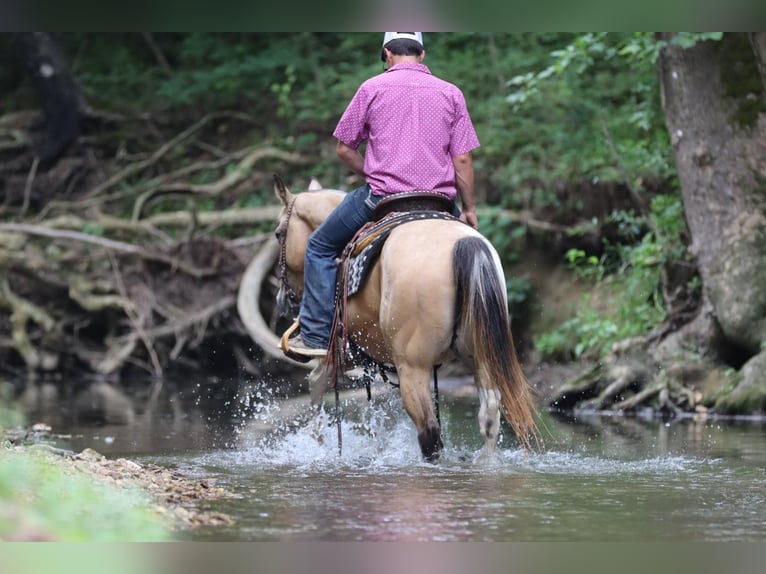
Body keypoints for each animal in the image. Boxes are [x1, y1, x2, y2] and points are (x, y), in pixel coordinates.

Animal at [272, 176, 544, 464]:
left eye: (278, 233)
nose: (282, 299)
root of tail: (465, 244)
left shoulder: (343, 347)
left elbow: (316, 382)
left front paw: (318, 440)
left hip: (413, 367)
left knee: (429, 431)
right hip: (481, 357)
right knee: (489, 416)